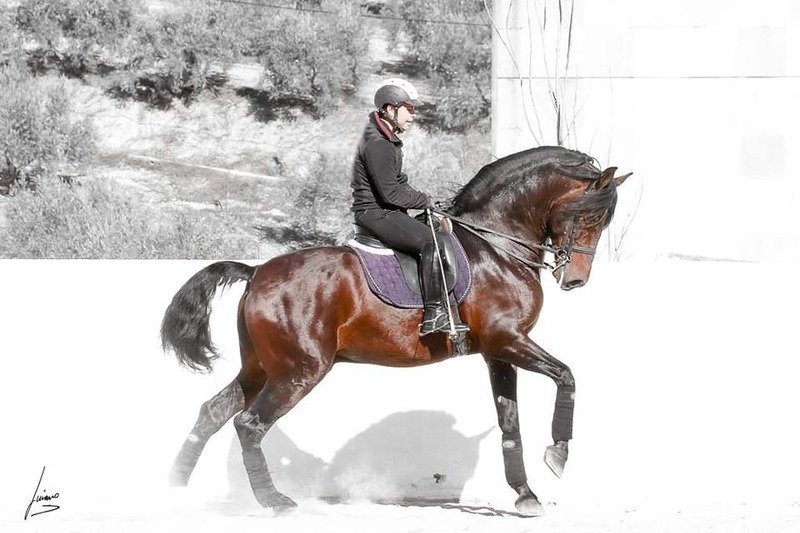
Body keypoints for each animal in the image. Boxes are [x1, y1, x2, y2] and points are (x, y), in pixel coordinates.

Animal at [160, 145, 629, 516]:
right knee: (249, 425)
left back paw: (174, 490)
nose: (575, 280)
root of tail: (256, 271)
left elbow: (509, 421)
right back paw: (274, 501)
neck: (496, 246)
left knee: (212, 413)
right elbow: (566, 376)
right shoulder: (508, 340)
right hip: (298, 371)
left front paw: (525, 495)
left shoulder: (499, 350)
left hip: (262, 367)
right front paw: (559, 453)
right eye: (587, 216)